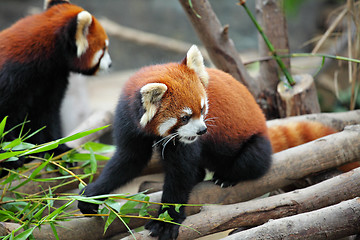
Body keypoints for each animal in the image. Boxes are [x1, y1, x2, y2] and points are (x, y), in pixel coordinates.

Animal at [0, 0, 111, 169]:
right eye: (104, 48)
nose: (110, 64)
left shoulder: (51, 79)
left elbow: (46, 116)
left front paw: (56, 149)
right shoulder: (11, 77)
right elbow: (5, 119)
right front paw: (9, 156)